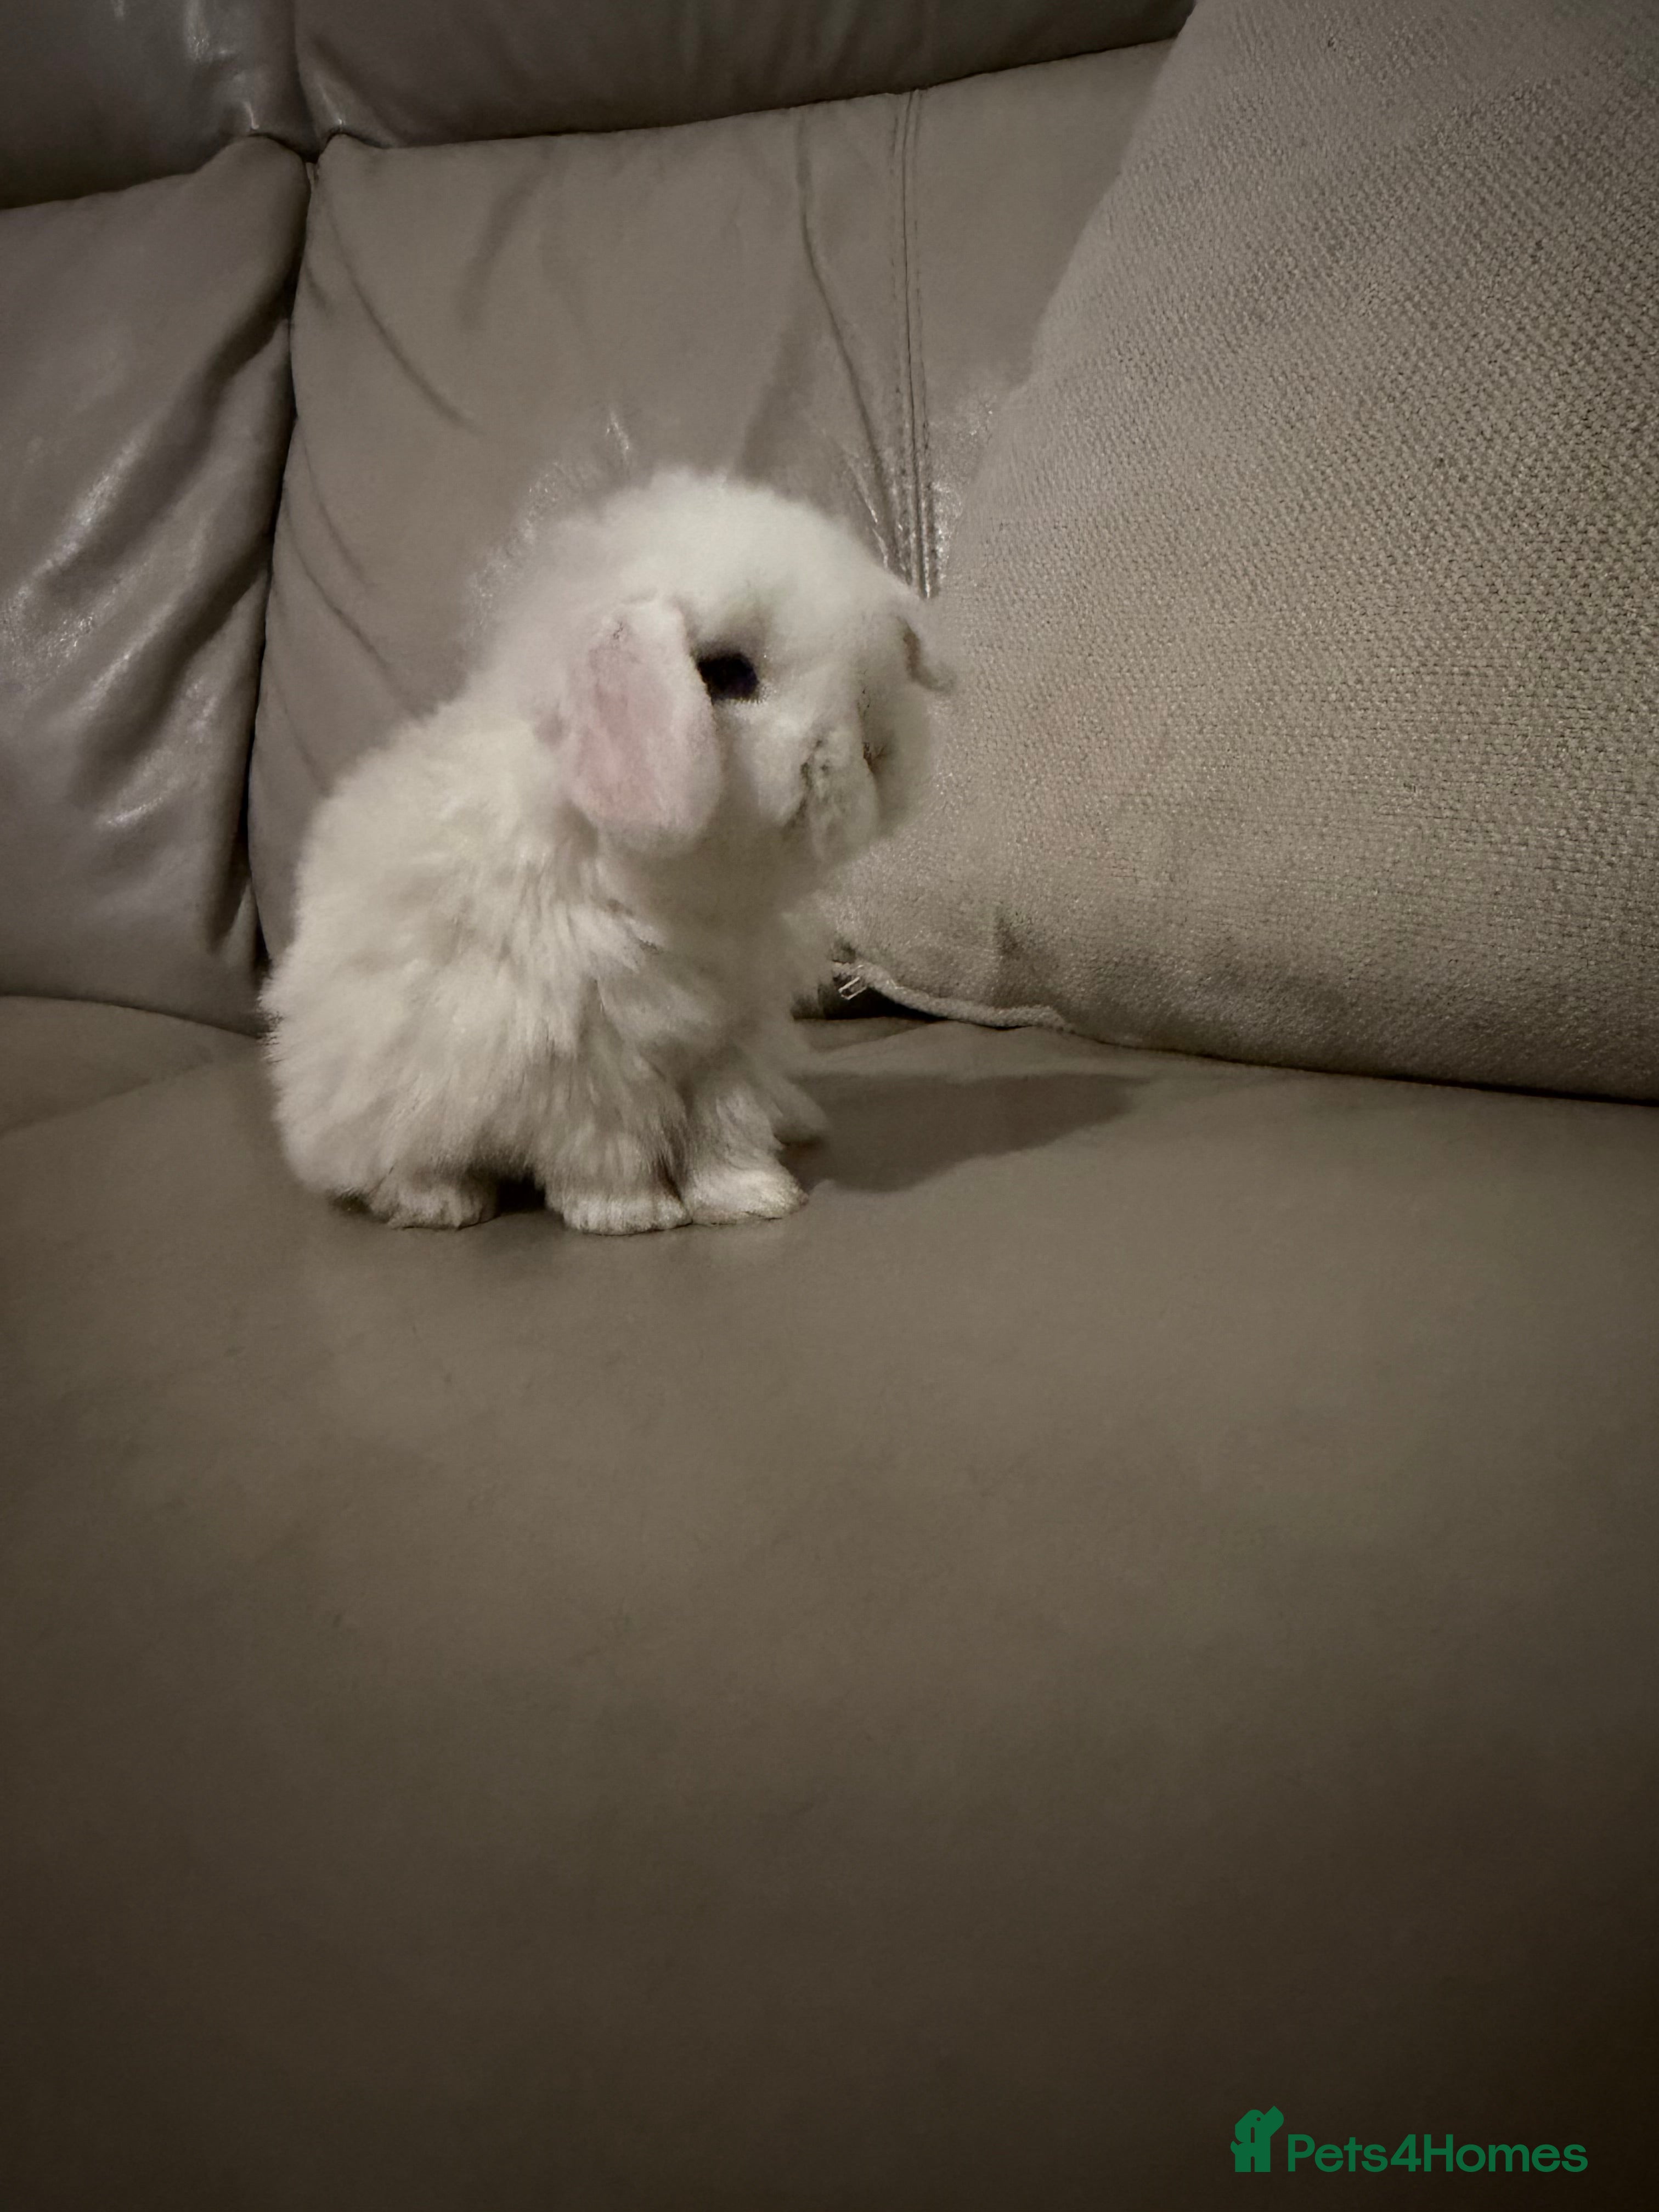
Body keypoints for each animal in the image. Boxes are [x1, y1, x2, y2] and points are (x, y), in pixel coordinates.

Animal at [262, 469, 950, 1232]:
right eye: (729, 676)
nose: (874, 750)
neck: (691, 886)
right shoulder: (587, 1064)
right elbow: (606, 1148)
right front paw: (632, 1215)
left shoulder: (728, 1044)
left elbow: (726, 1129)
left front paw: (755, 1200)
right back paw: (443, 1202)